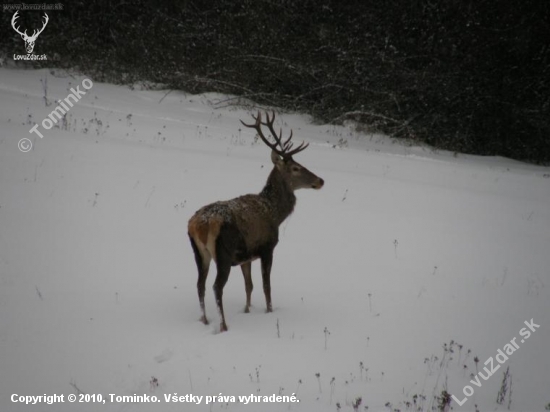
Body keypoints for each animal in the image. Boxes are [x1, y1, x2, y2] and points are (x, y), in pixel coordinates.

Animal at [188, 110, 326, 332]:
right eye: (296, 168)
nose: (320, 180)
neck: (275, 214)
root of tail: (200, 225)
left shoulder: (247, 256)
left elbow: (249, 285)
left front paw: (247, 310)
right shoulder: (267, 247)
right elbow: (266, 285)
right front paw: (269, 312)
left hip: (199, 253)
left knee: (200, 284)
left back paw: (205, 320)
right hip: (223, 253)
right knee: (216, 287)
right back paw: (223, 325)